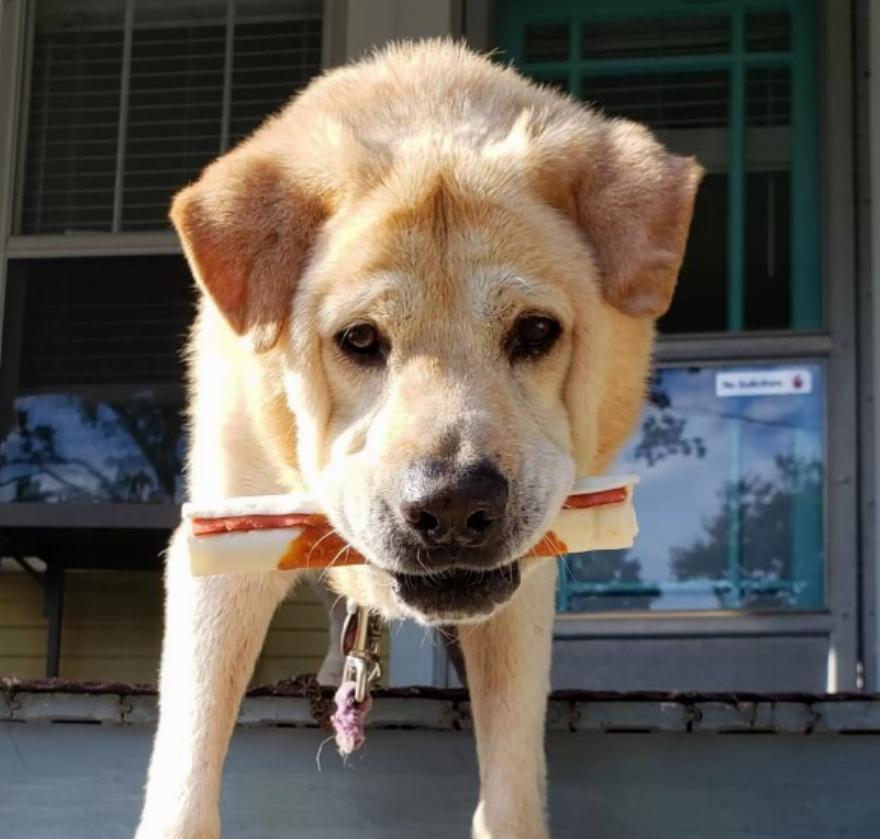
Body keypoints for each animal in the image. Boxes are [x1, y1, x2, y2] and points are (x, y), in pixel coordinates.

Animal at [135, 40, 701, 839]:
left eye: (535, 331)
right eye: (359, 339)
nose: (456, 505)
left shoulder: (523, 592)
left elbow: (511, 784)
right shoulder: (219, 543)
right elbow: (186, 774)